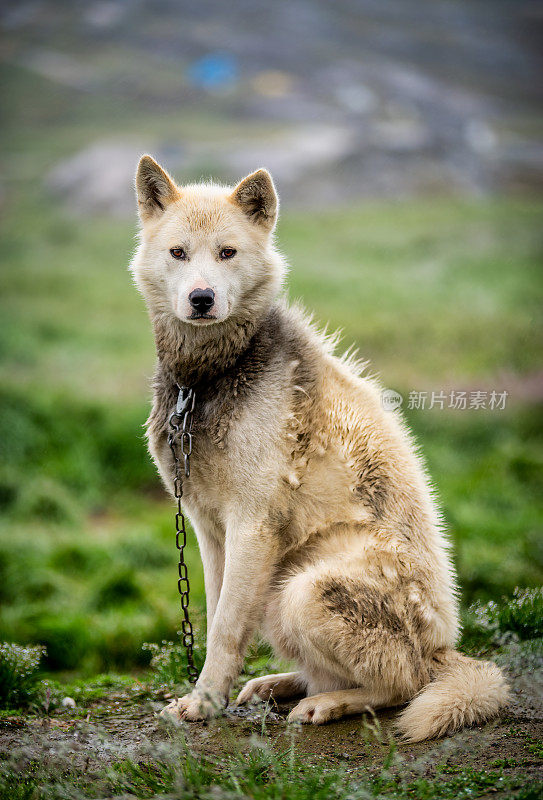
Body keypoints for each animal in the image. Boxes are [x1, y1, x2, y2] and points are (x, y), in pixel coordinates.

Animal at [132, 156, 510, 744]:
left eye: (227, 252)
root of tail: (444, 652)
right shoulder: (209, 530)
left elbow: (224, 630)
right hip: (278, 587)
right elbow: (217, 618)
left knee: (401, 684)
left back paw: (326, 704)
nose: (201, 299)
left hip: (302, 589)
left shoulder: (250, 526)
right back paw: (279, 684)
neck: (208, 378)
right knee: (331, 670)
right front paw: (210, 697)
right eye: (177, 252)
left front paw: (203, 703)